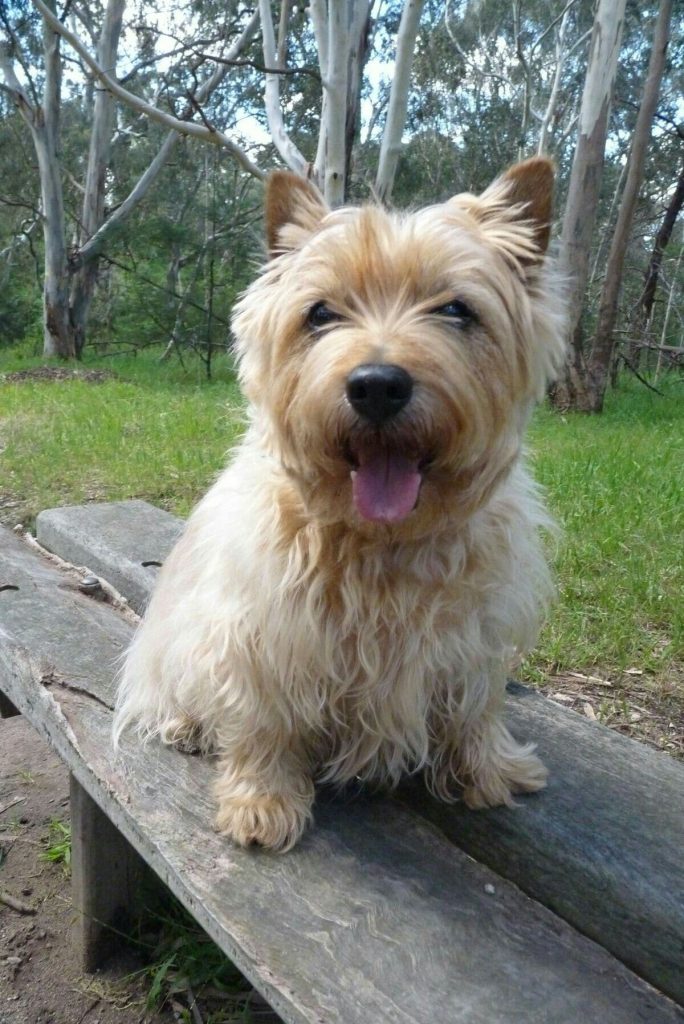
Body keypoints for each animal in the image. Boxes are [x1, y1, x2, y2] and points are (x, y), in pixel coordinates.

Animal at [113, 157, 565, 847]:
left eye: (457, 309)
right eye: (320, 313)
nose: (377, 385)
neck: (381, 540)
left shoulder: (476, 639)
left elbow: (475, 706)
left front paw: (490, 769)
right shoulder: (260, 633)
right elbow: (262, 719)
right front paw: (262, 800)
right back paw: (186, 724)